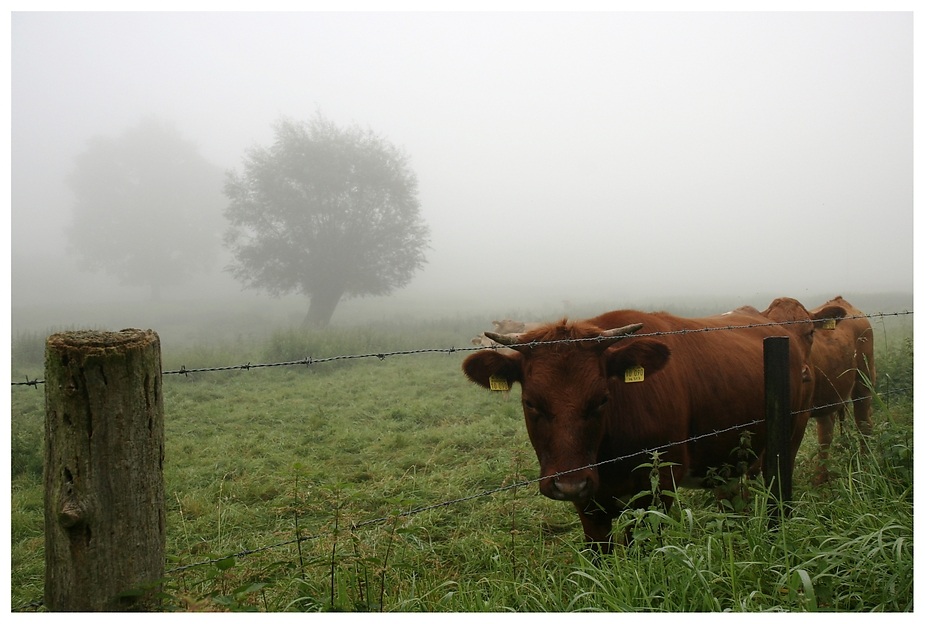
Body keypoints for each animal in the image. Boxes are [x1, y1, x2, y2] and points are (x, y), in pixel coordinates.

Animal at [462, 300, 844, 552]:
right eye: (531, 403)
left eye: (602, 399)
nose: (569, 484)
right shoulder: (588, 499)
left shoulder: (658, 486)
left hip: (790, 435)